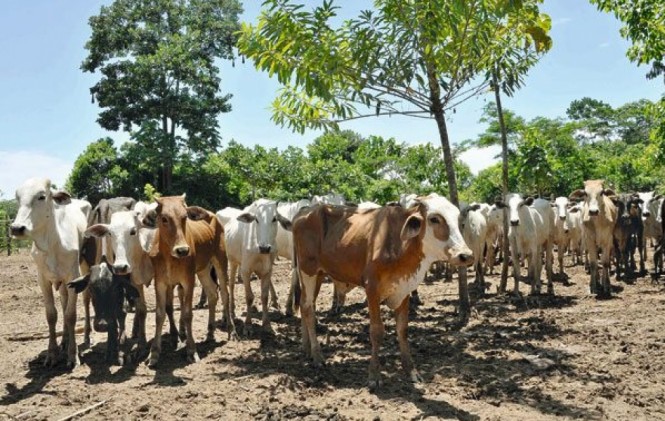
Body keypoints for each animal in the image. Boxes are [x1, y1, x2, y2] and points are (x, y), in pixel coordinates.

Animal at [144, 195, 235, 366]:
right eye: (164, 218)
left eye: (185, 217)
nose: (182, 250)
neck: (170, 257)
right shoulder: (160, 282)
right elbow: (160, 314)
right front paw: (154, 353)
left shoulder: (188, 280)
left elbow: (187, 314)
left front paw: (191, 351)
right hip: (203, 270)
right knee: (212, 294)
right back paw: (210, 333)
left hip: (220, 261)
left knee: (225, 295)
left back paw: (232, 331)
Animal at [218, 199, 290, 334]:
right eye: (256, 219)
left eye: (274, 218)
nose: (264, 248)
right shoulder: (246, 271)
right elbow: (249, 297)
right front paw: (248, 325)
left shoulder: (267, 271)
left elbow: (264, 296)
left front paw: (267, 325)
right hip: (231, 261)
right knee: (230, 285)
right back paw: (230, 313)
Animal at [290, 194, 472, 388]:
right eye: (434, 219)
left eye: (458, 219)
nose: (465, 255)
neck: (399, 243)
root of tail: (304, 212)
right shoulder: (372, 288)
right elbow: (377, 331)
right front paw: (374, 375)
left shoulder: (404, 289)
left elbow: (403, 330)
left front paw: (412, 371)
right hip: (308, 270)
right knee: (308, 308)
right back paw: (317, 356)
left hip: (317, 274)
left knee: (306, 305)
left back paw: (307, 349)